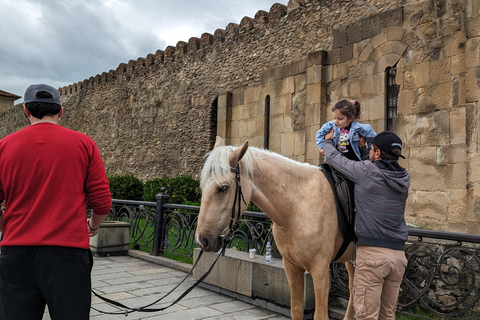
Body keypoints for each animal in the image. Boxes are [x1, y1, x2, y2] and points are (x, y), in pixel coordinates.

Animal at [195, 137, 356, 320]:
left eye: (223, 188)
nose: (202, 239)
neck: (299, 205)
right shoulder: (292, 267)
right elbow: (296, 310)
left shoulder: (321, 270)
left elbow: (320, 315)